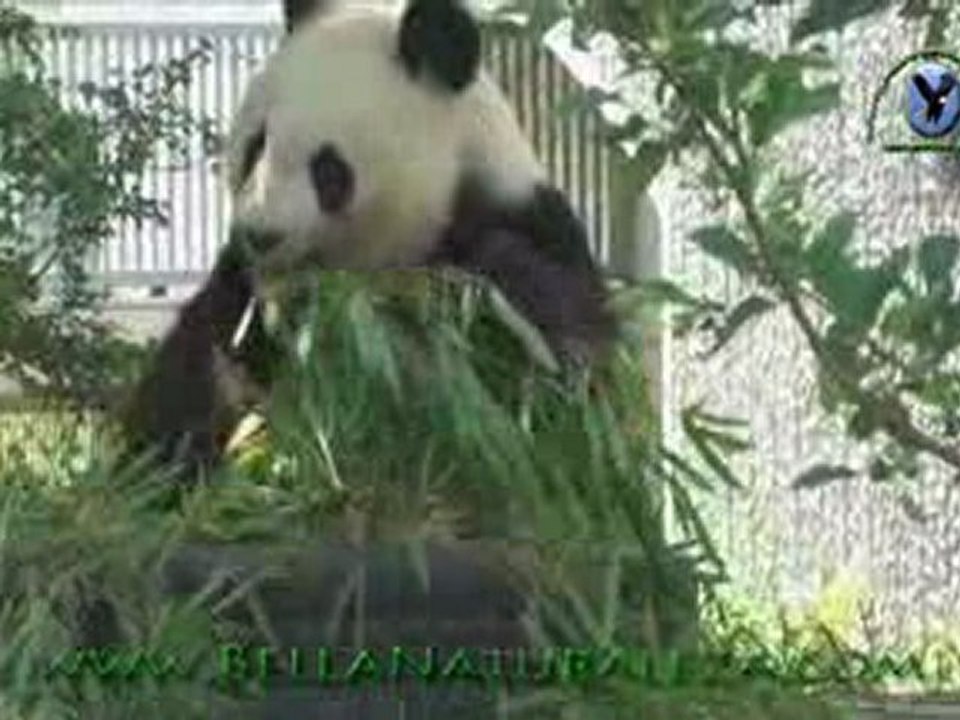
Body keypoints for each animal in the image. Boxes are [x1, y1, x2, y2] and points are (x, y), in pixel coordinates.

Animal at [120, 0, 618, 476]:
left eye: (328, 168)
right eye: (256, 145)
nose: (261, 235)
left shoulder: (525, 226)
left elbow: (560, 389)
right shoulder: (248, 292)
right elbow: (197, 375)